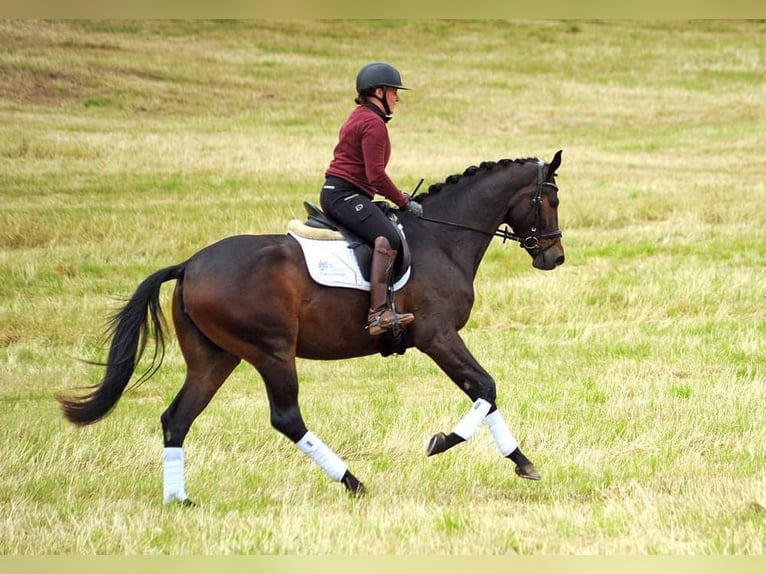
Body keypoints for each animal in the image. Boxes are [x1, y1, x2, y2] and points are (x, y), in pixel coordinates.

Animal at [58, 151, 564, 506]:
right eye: (551, 200)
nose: (554, 257)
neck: (441, 238)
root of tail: (190, 265)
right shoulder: (437, 336)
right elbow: (485, 386)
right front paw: (444, 442)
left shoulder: (439, 339)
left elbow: (483, 391)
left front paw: (521, 462)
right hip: (272, 352)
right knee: (286, 418)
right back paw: (352, 481)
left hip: (214, 358)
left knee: (177, 418)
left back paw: (179, 500)